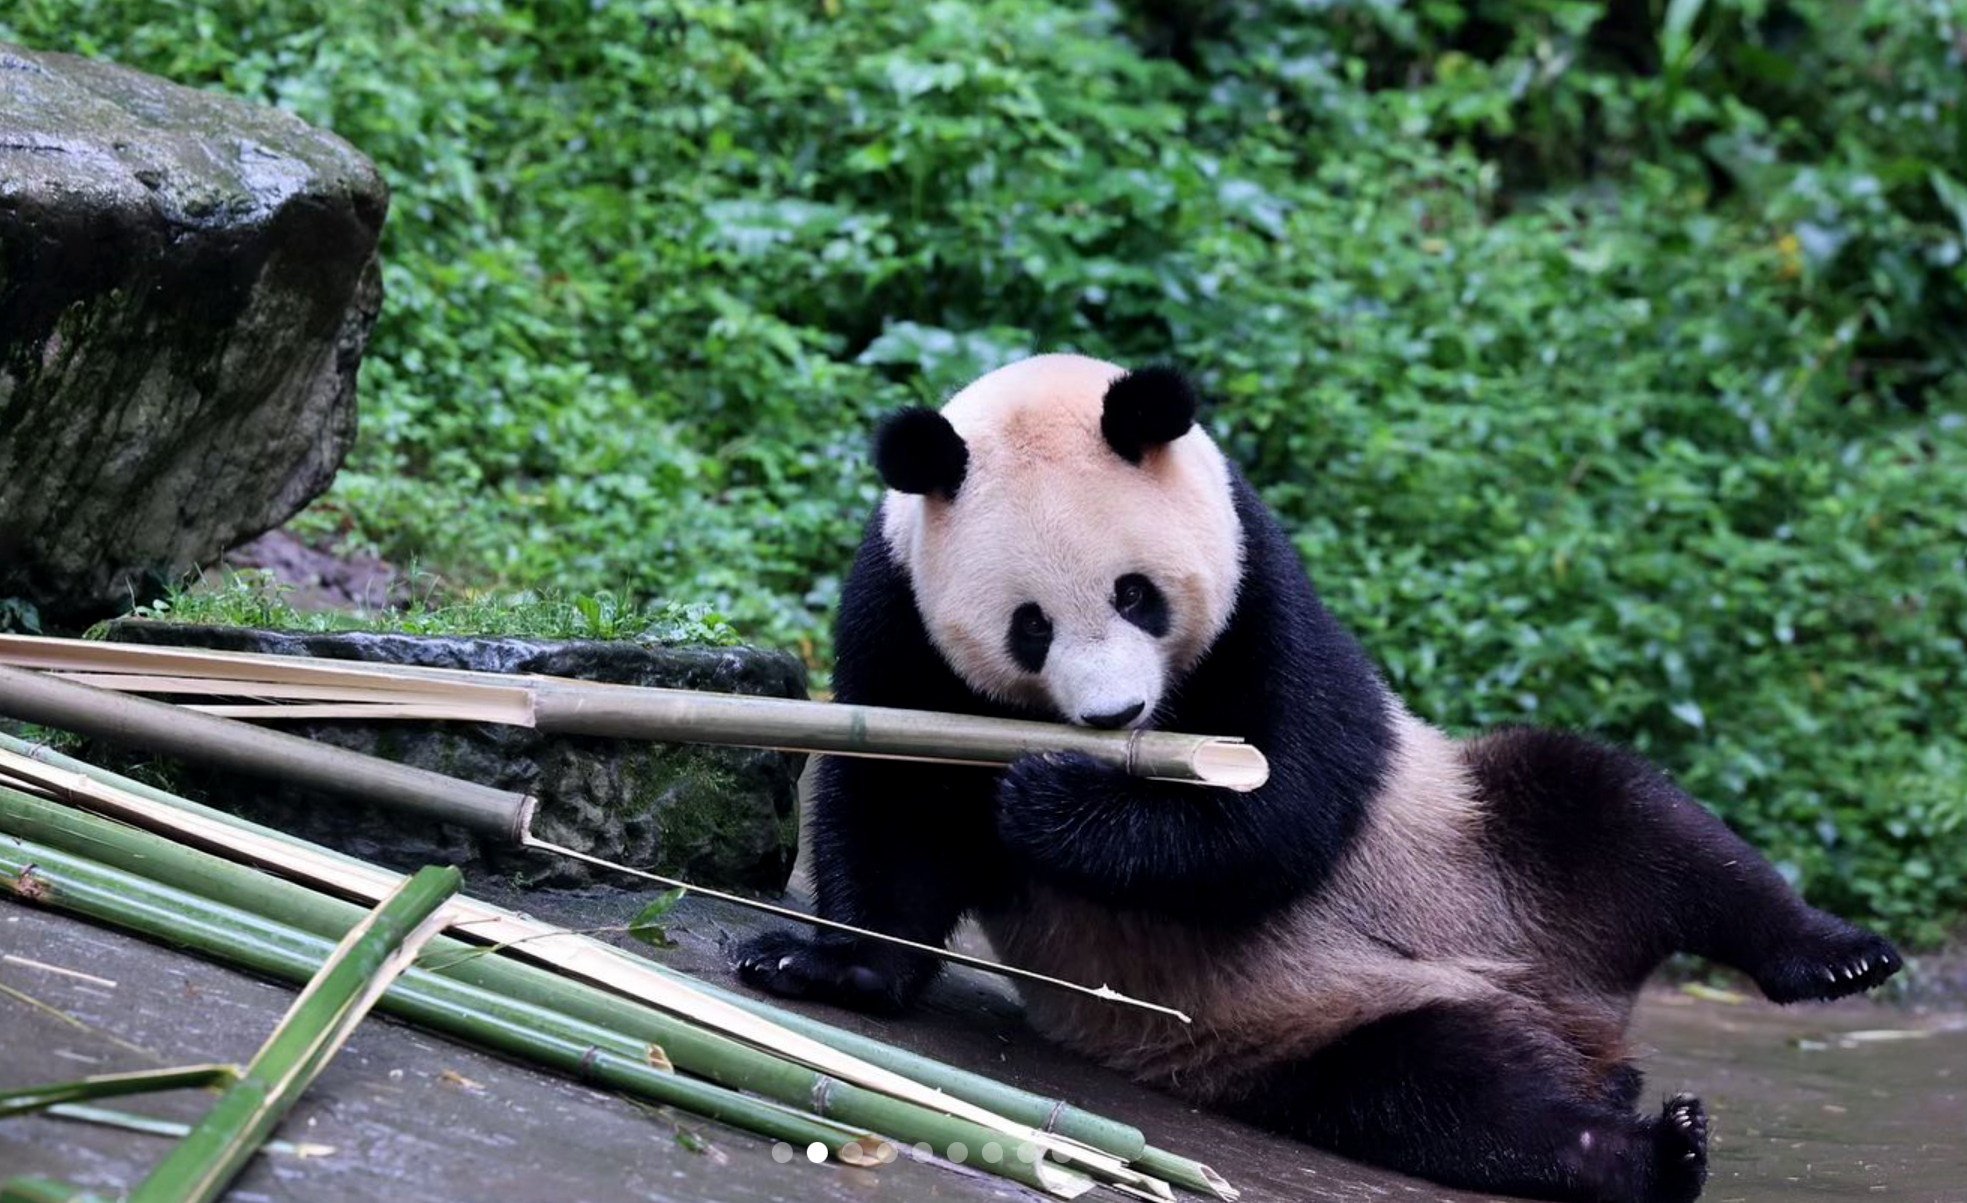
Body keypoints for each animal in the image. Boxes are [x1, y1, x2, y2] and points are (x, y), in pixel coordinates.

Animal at [731, 351, 1896, 1203]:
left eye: (1137, 595)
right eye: (1029, 627)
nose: (1115, 718)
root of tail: (1573, 1007)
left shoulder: (1262, 590)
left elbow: (1281, 811)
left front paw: (1051, 803)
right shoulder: (898, 620)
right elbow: (890, 814)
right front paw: (816, 965)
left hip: (1479, 835)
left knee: (1623, 816)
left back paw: (1828, 959)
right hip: (1313, 1029)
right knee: (1448, 1101)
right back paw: (1642, 1147)